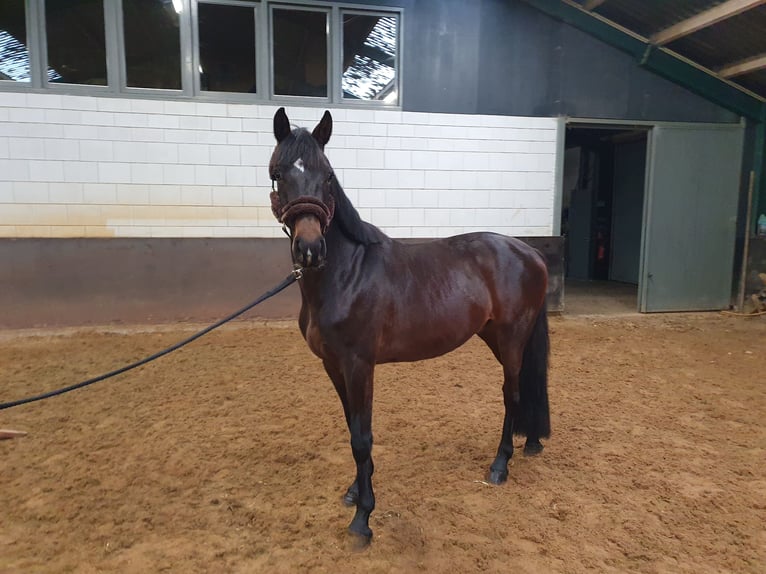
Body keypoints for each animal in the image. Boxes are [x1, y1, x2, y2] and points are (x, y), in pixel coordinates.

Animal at [268, 107, 550, 545]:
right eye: (279, 173)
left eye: (328, 175)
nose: (311, 249)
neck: (345, 274)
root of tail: (529, 251)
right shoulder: (333, 365)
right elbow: (351, 427)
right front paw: (354, 492)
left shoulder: (359, 365)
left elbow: (362, 438)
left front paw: (363, 518)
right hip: (494, 335)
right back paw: (531, 443)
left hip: (512, 337)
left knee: (512, 393)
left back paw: (500, 465)